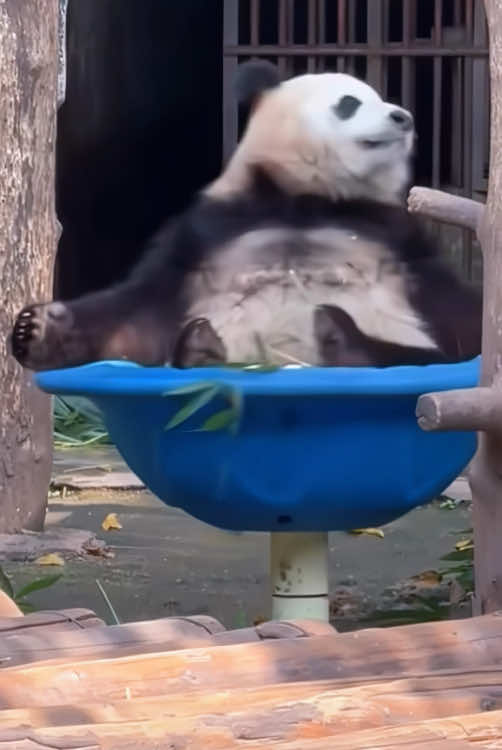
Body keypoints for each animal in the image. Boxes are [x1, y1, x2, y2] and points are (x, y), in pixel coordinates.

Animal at [10, 61, 482, 371]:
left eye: (384, 99)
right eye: (349, 103)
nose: (403, 118)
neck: (309, 198)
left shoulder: (397, 237)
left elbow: (459, 316)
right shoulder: (211, 227)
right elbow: (138, 310)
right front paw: (38, 329)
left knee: (415, 358)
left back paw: (344, 341)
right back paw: (201, 351)